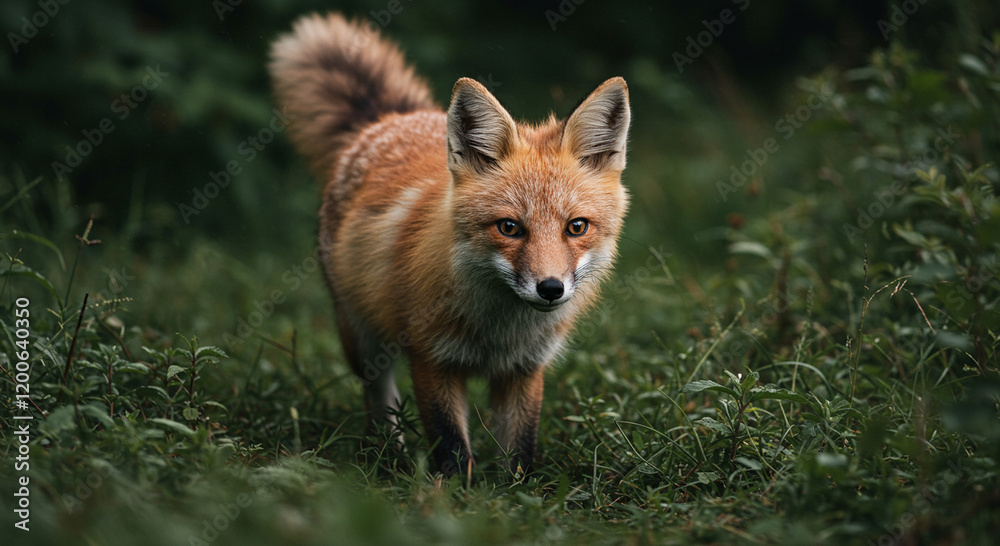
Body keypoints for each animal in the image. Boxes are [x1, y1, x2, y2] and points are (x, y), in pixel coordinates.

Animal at [269, 13, 630, 476]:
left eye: (576, 227)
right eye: (509, 227)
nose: (551, 289)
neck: (498, 333)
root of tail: (390, 119)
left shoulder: (525, 370)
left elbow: (520, 452)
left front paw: (517, 490)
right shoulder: (431, 359)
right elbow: (453, 449)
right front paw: (455, 494)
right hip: (361, 336)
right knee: (378, 397)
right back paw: (389, 456)